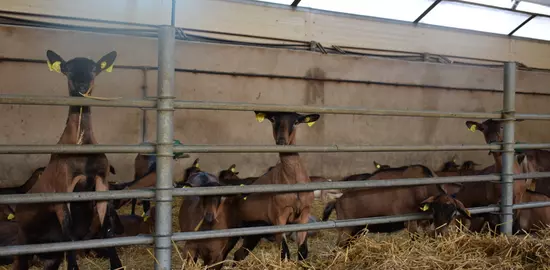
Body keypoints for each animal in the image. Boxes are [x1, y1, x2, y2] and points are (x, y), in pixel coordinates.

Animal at [12, 50, 122, 270]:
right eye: (68, 69)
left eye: (93, 68)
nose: (81, 85)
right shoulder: (63, 189)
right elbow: (69, 237)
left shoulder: (101, 182)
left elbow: (107, 230)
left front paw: (117, 264)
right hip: (23, 236)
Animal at [232, 111, 320, 262]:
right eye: (272, 119)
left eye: (296, 122)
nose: (281, 141)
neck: (292, 180)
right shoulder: (279, 217)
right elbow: (285, 253)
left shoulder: (304, 214)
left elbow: (303, 251)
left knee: (239, 254)